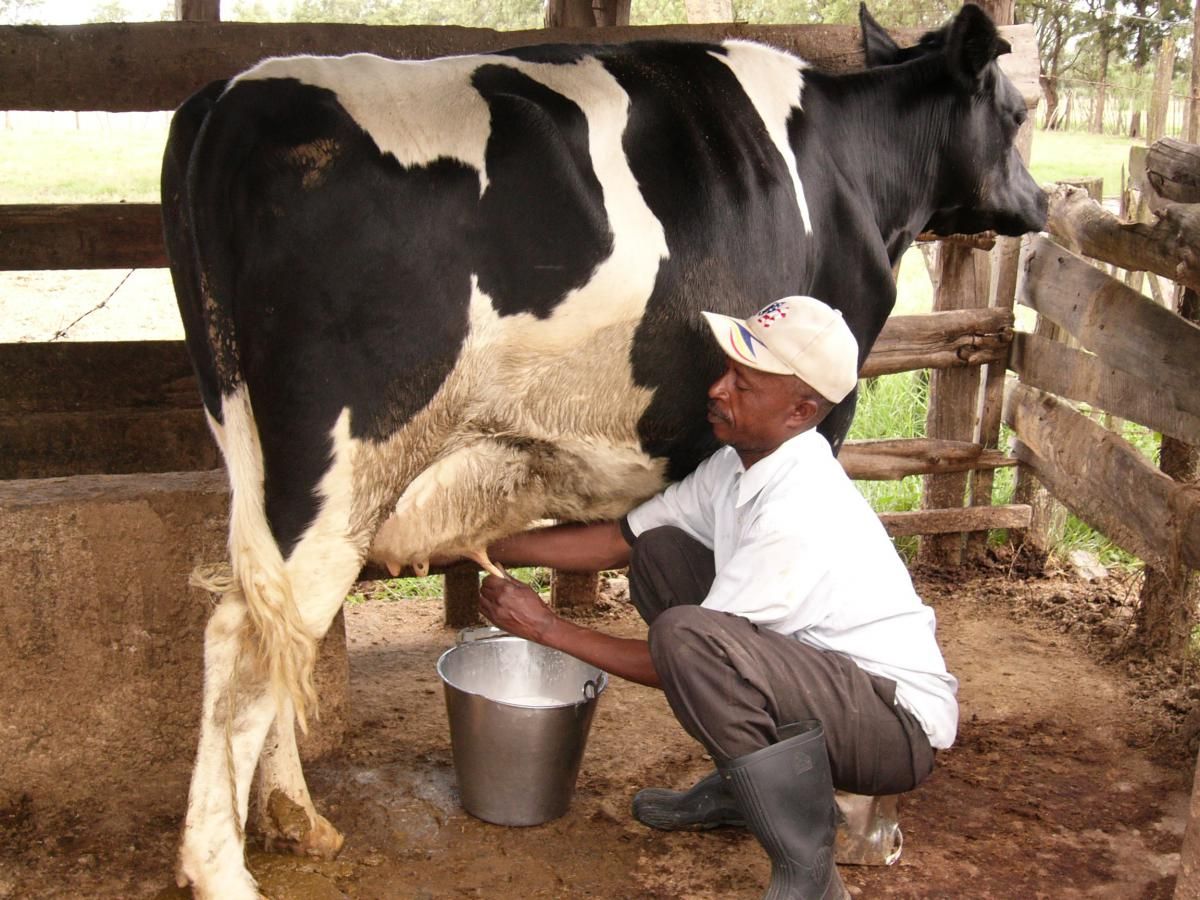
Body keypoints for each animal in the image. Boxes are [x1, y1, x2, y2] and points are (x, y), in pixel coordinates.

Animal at [161, 5, 1045, 896]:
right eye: (1016, 114)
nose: (1041, 200)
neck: (851, 169)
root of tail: (227, 97)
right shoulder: (827, 420)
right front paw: (851, 811)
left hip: (254, 449)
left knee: (274, 630)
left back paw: (295, 819)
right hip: (337, 464)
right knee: (244, 638)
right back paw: (221, 867)